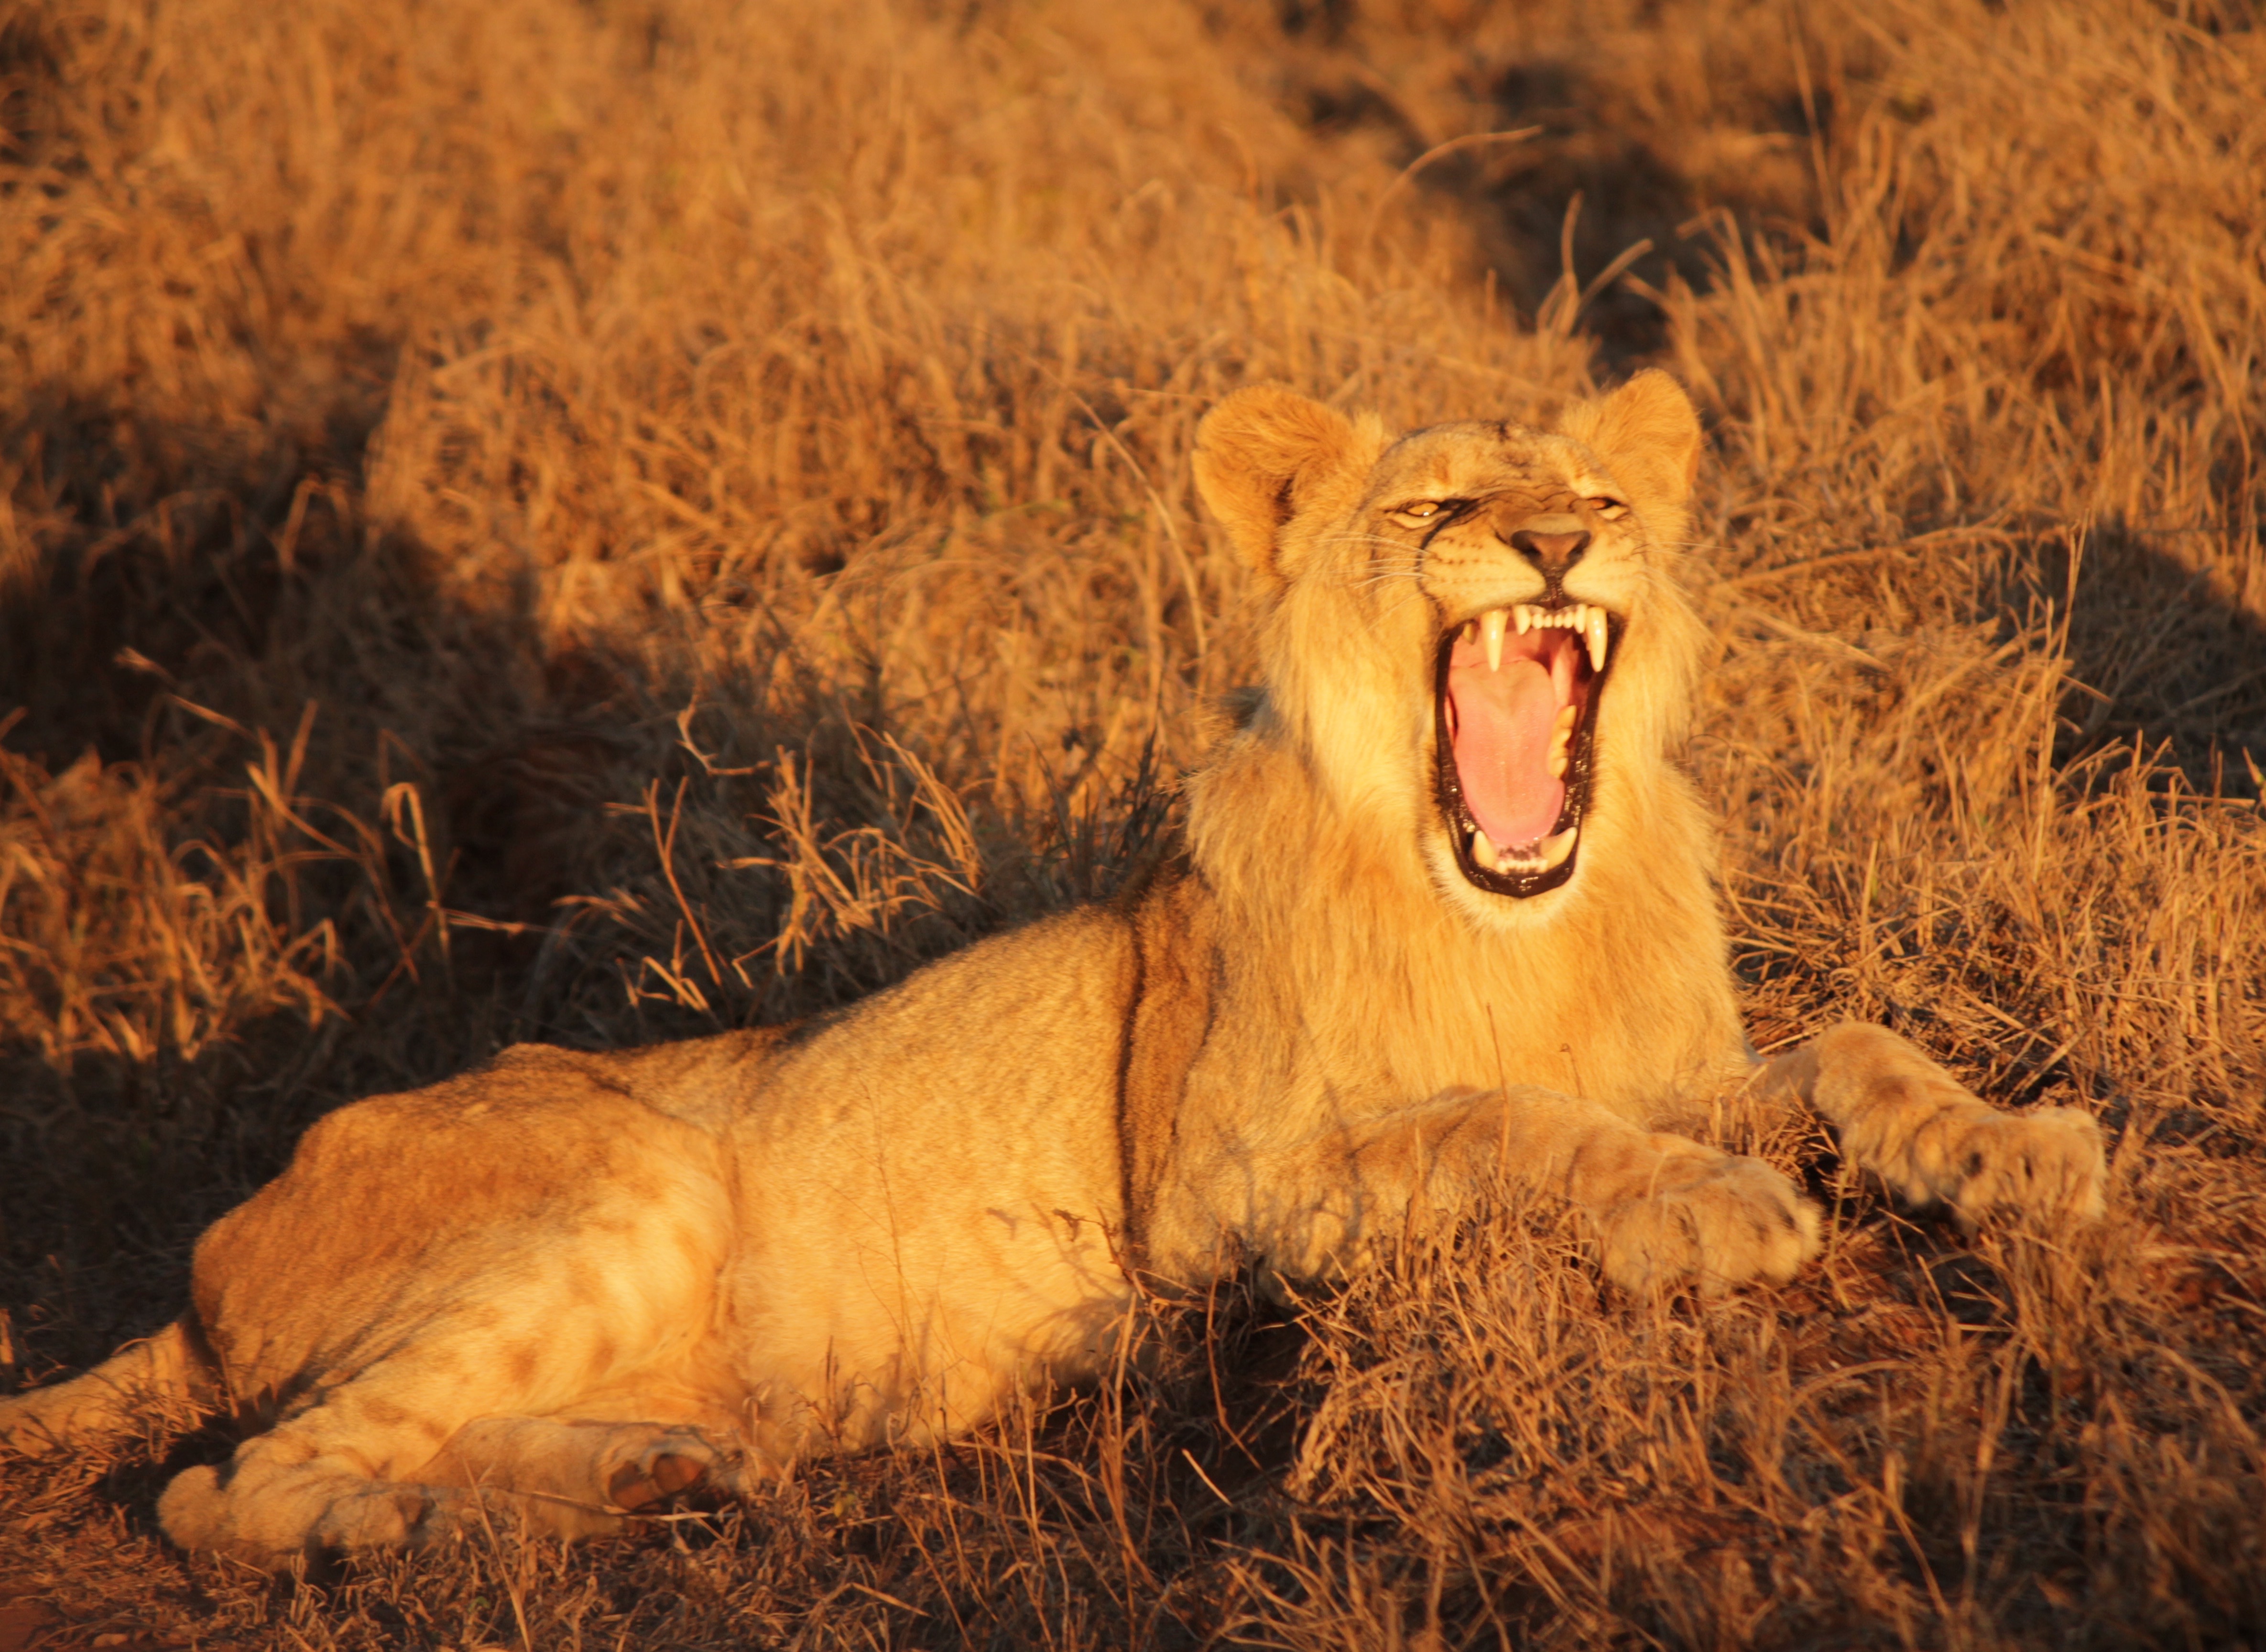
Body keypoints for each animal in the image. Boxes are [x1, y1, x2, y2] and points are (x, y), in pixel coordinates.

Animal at [0, 371, 2106, 1562]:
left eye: (1597, 503)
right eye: (1437, 510)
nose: (1552, 548)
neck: (1510, 918)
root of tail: (204, 1264)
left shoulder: (1673, 1054)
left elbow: (1853, 1048)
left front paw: (2020, 1150)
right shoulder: (1214, 1196)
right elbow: (1508, 1122)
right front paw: (1722, 1209)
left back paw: (671, 1478)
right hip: (630, 1171)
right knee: (224, 1489)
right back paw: (406, 1525)